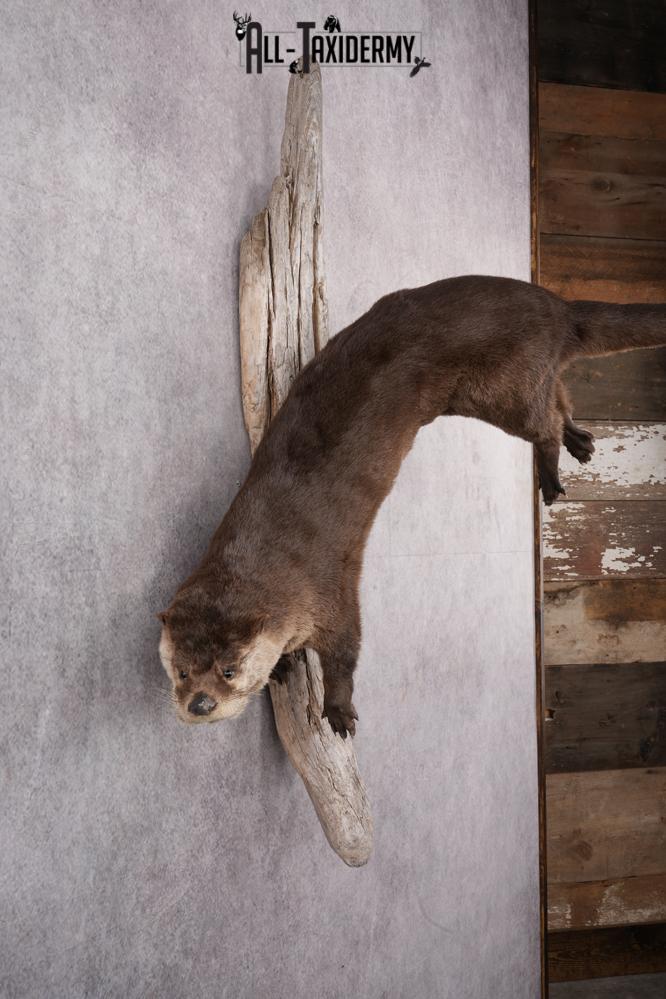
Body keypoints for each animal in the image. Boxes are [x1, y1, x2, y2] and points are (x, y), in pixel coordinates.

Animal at [159, 275, 666, 737]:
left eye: (229, 669)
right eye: (180, 669)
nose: (200, 703)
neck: (268, 546)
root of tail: (555, 307)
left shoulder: (330, 592)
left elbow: (346, 654)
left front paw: (339, 712)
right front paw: (283, 665)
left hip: (505, 387)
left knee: (543, 422)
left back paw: (553, 477)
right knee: (559, 399)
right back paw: (581, 442)